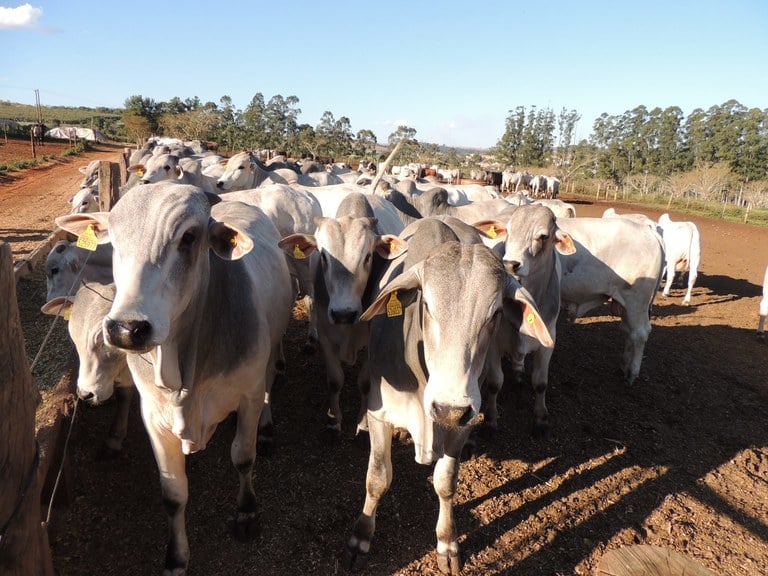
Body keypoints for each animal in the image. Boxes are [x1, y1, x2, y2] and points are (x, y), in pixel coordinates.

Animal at [54, 182, 294, 572]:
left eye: (189, 237)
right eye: (113, 240)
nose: (126, 328)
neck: (185, 375)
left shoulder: (248, 395)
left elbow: (243, 457)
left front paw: (246, 513)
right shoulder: (154, 417)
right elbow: (173, 493)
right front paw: (176, 556)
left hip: (272, 348)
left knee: (271, 381)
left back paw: (268, 426)